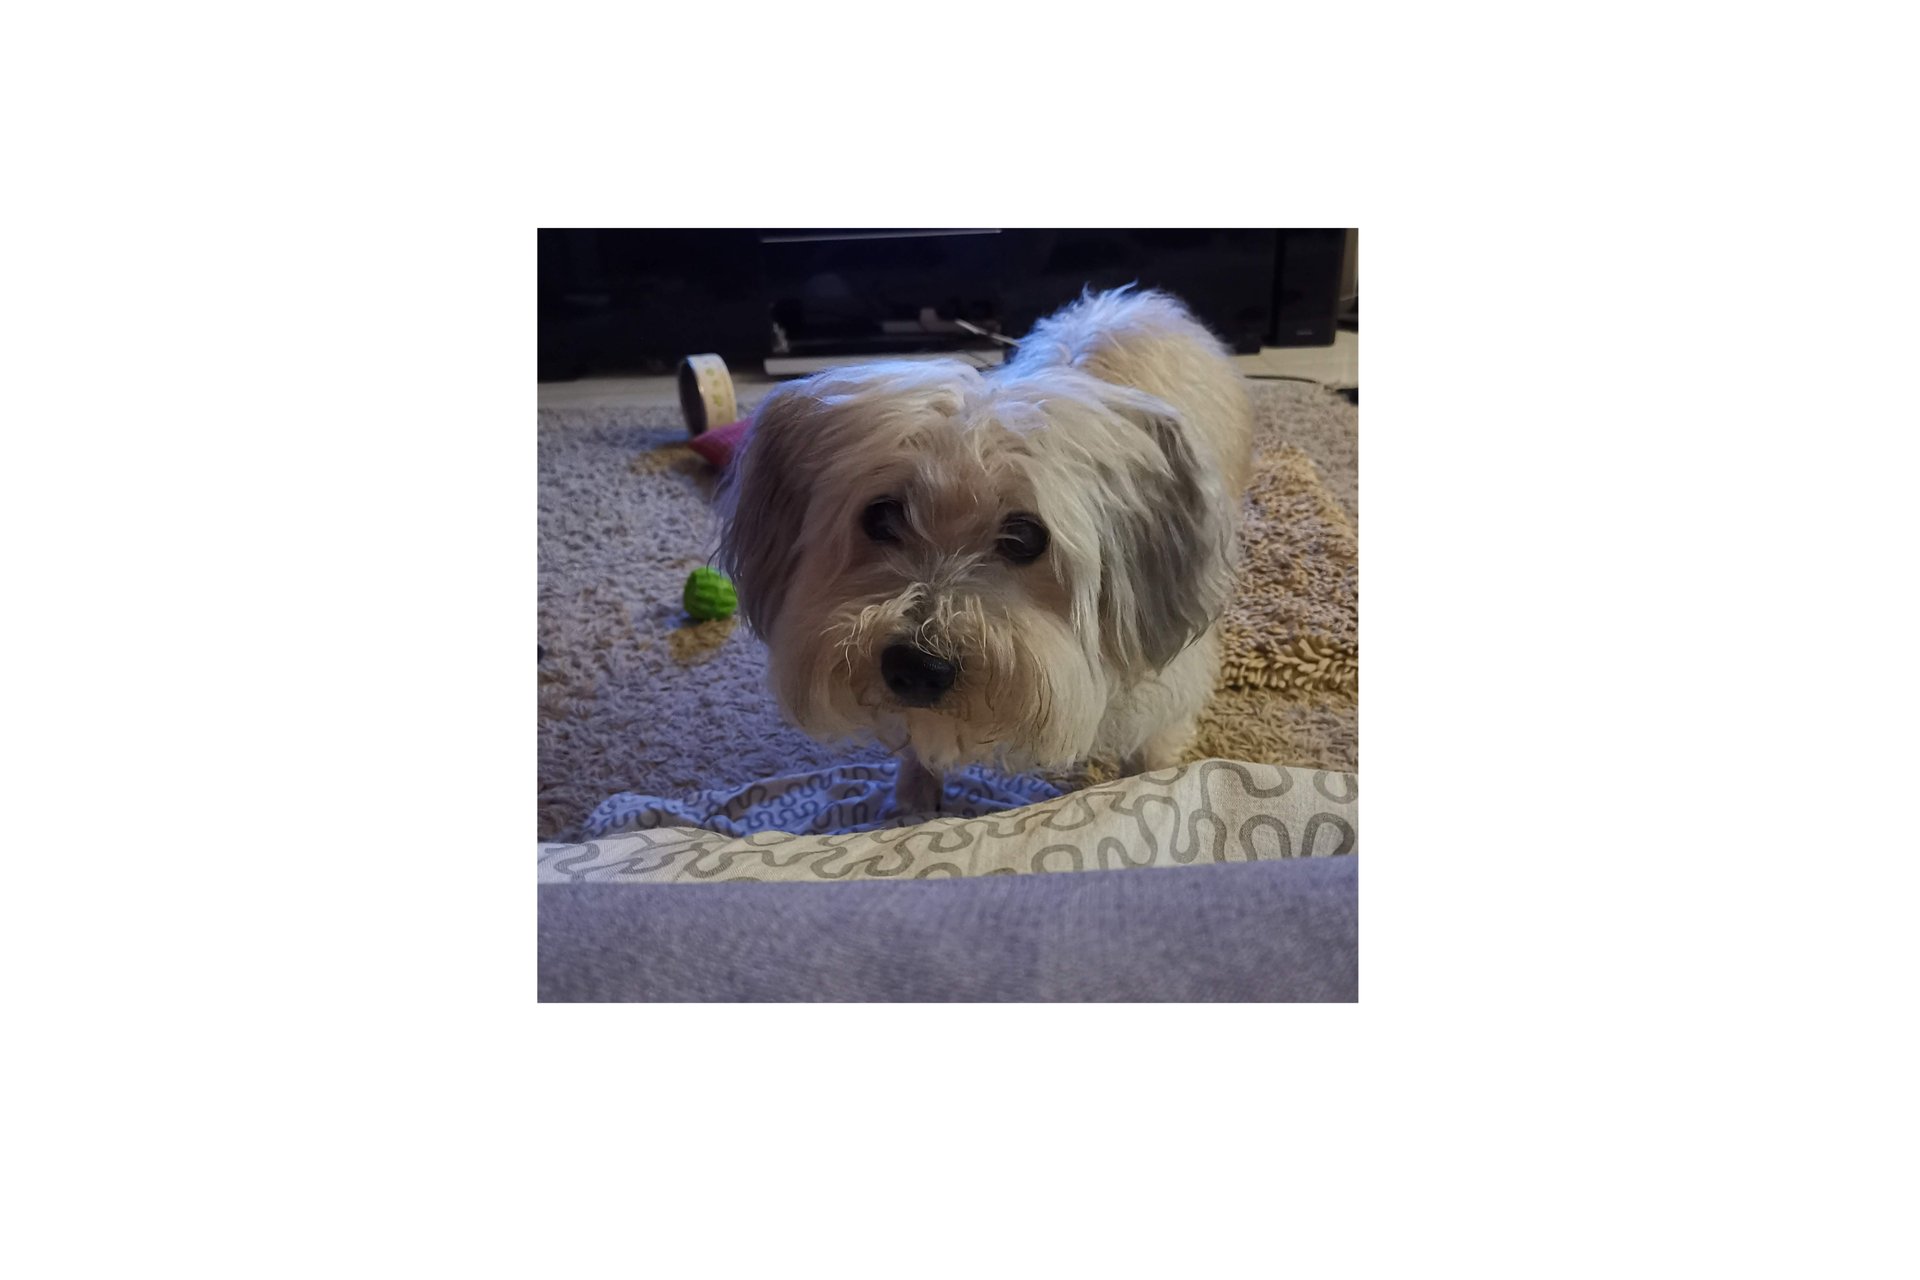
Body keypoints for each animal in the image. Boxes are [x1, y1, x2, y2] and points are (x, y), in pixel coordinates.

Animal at [717, 286, 1254, 812]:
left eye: (1025, 538)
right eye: (881, 517)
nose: (917, 669)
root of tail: (1127, 302)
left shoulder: (1167, 691)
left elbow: (1152, 753)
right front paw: (914, 800)